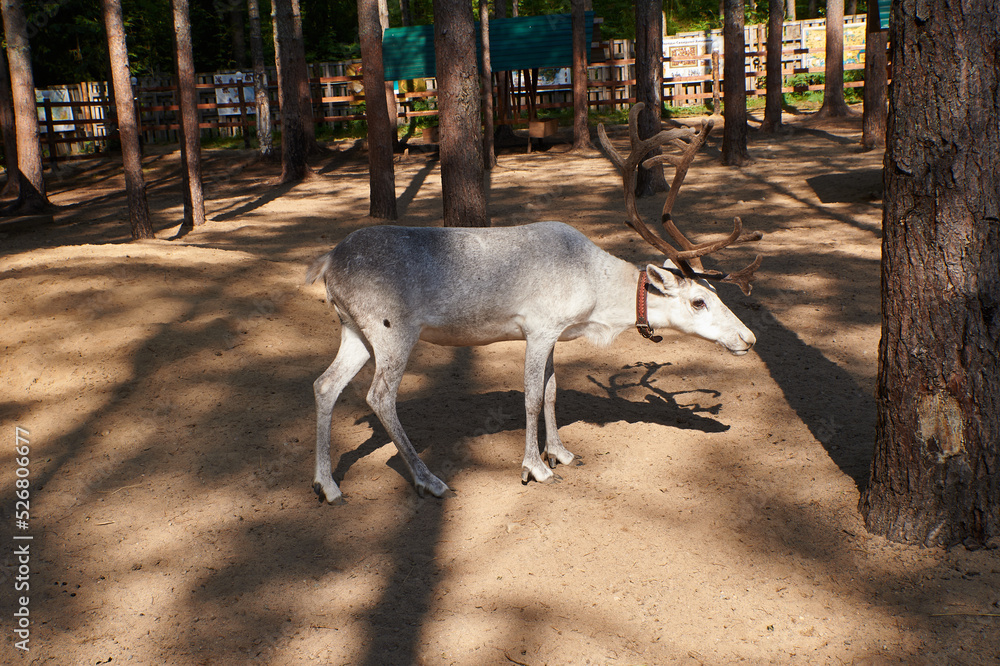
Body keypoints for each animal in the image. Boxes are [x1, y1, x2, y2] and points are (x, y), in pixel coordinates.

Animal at [306, 103, 762, 503]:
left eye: (717, 295)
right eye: (699, 301)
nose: (749, 338)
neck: (596, 296)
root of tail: (329, 260)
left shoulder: (556, 334)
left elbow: (552, 390)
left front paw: (560, 452)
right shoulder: (539, 328)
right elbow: (530, 395)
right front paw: (535, 468)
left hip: (354, 329)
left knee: (325, 384)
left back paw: (327, 486)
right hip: (392, 331)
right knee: (379, 397)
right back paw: (429, 480)